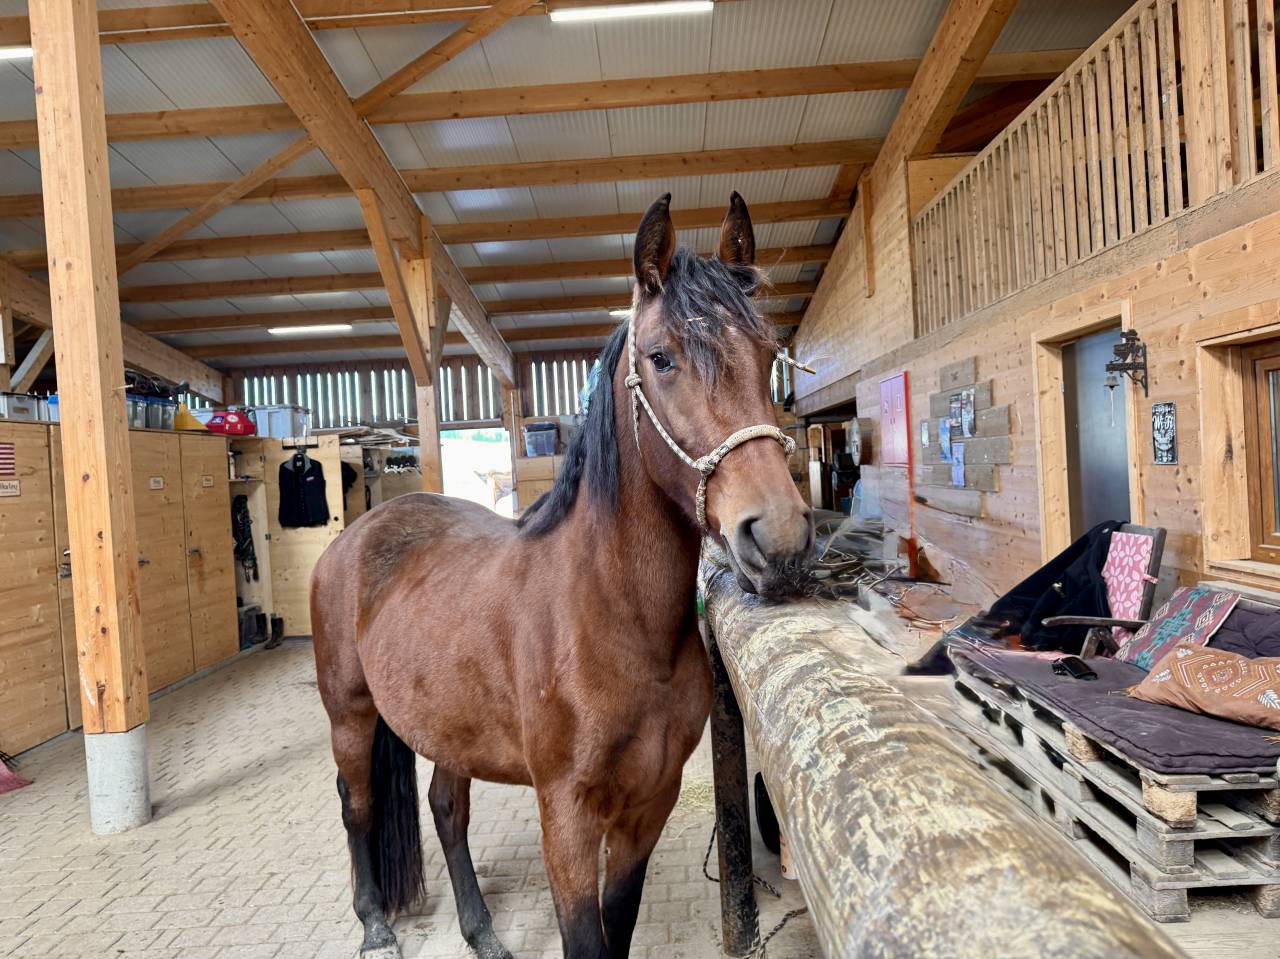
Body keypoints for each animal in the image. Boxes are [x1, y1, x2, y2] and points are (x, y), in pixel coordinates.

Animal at [311, 192, 814, 959]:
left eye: (766, 353)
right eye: (661, 358)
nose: (779, 537)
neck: (613, 620)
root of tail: (359, 536)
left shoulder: (648, 806)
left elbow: (618, 926)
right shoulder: (568, 820)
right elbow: (585, 939)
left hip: (448, 726)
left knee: (446, 809)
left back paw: (481, 931)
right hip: (350, 714)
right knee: (357, 804)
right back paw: (373, 923)